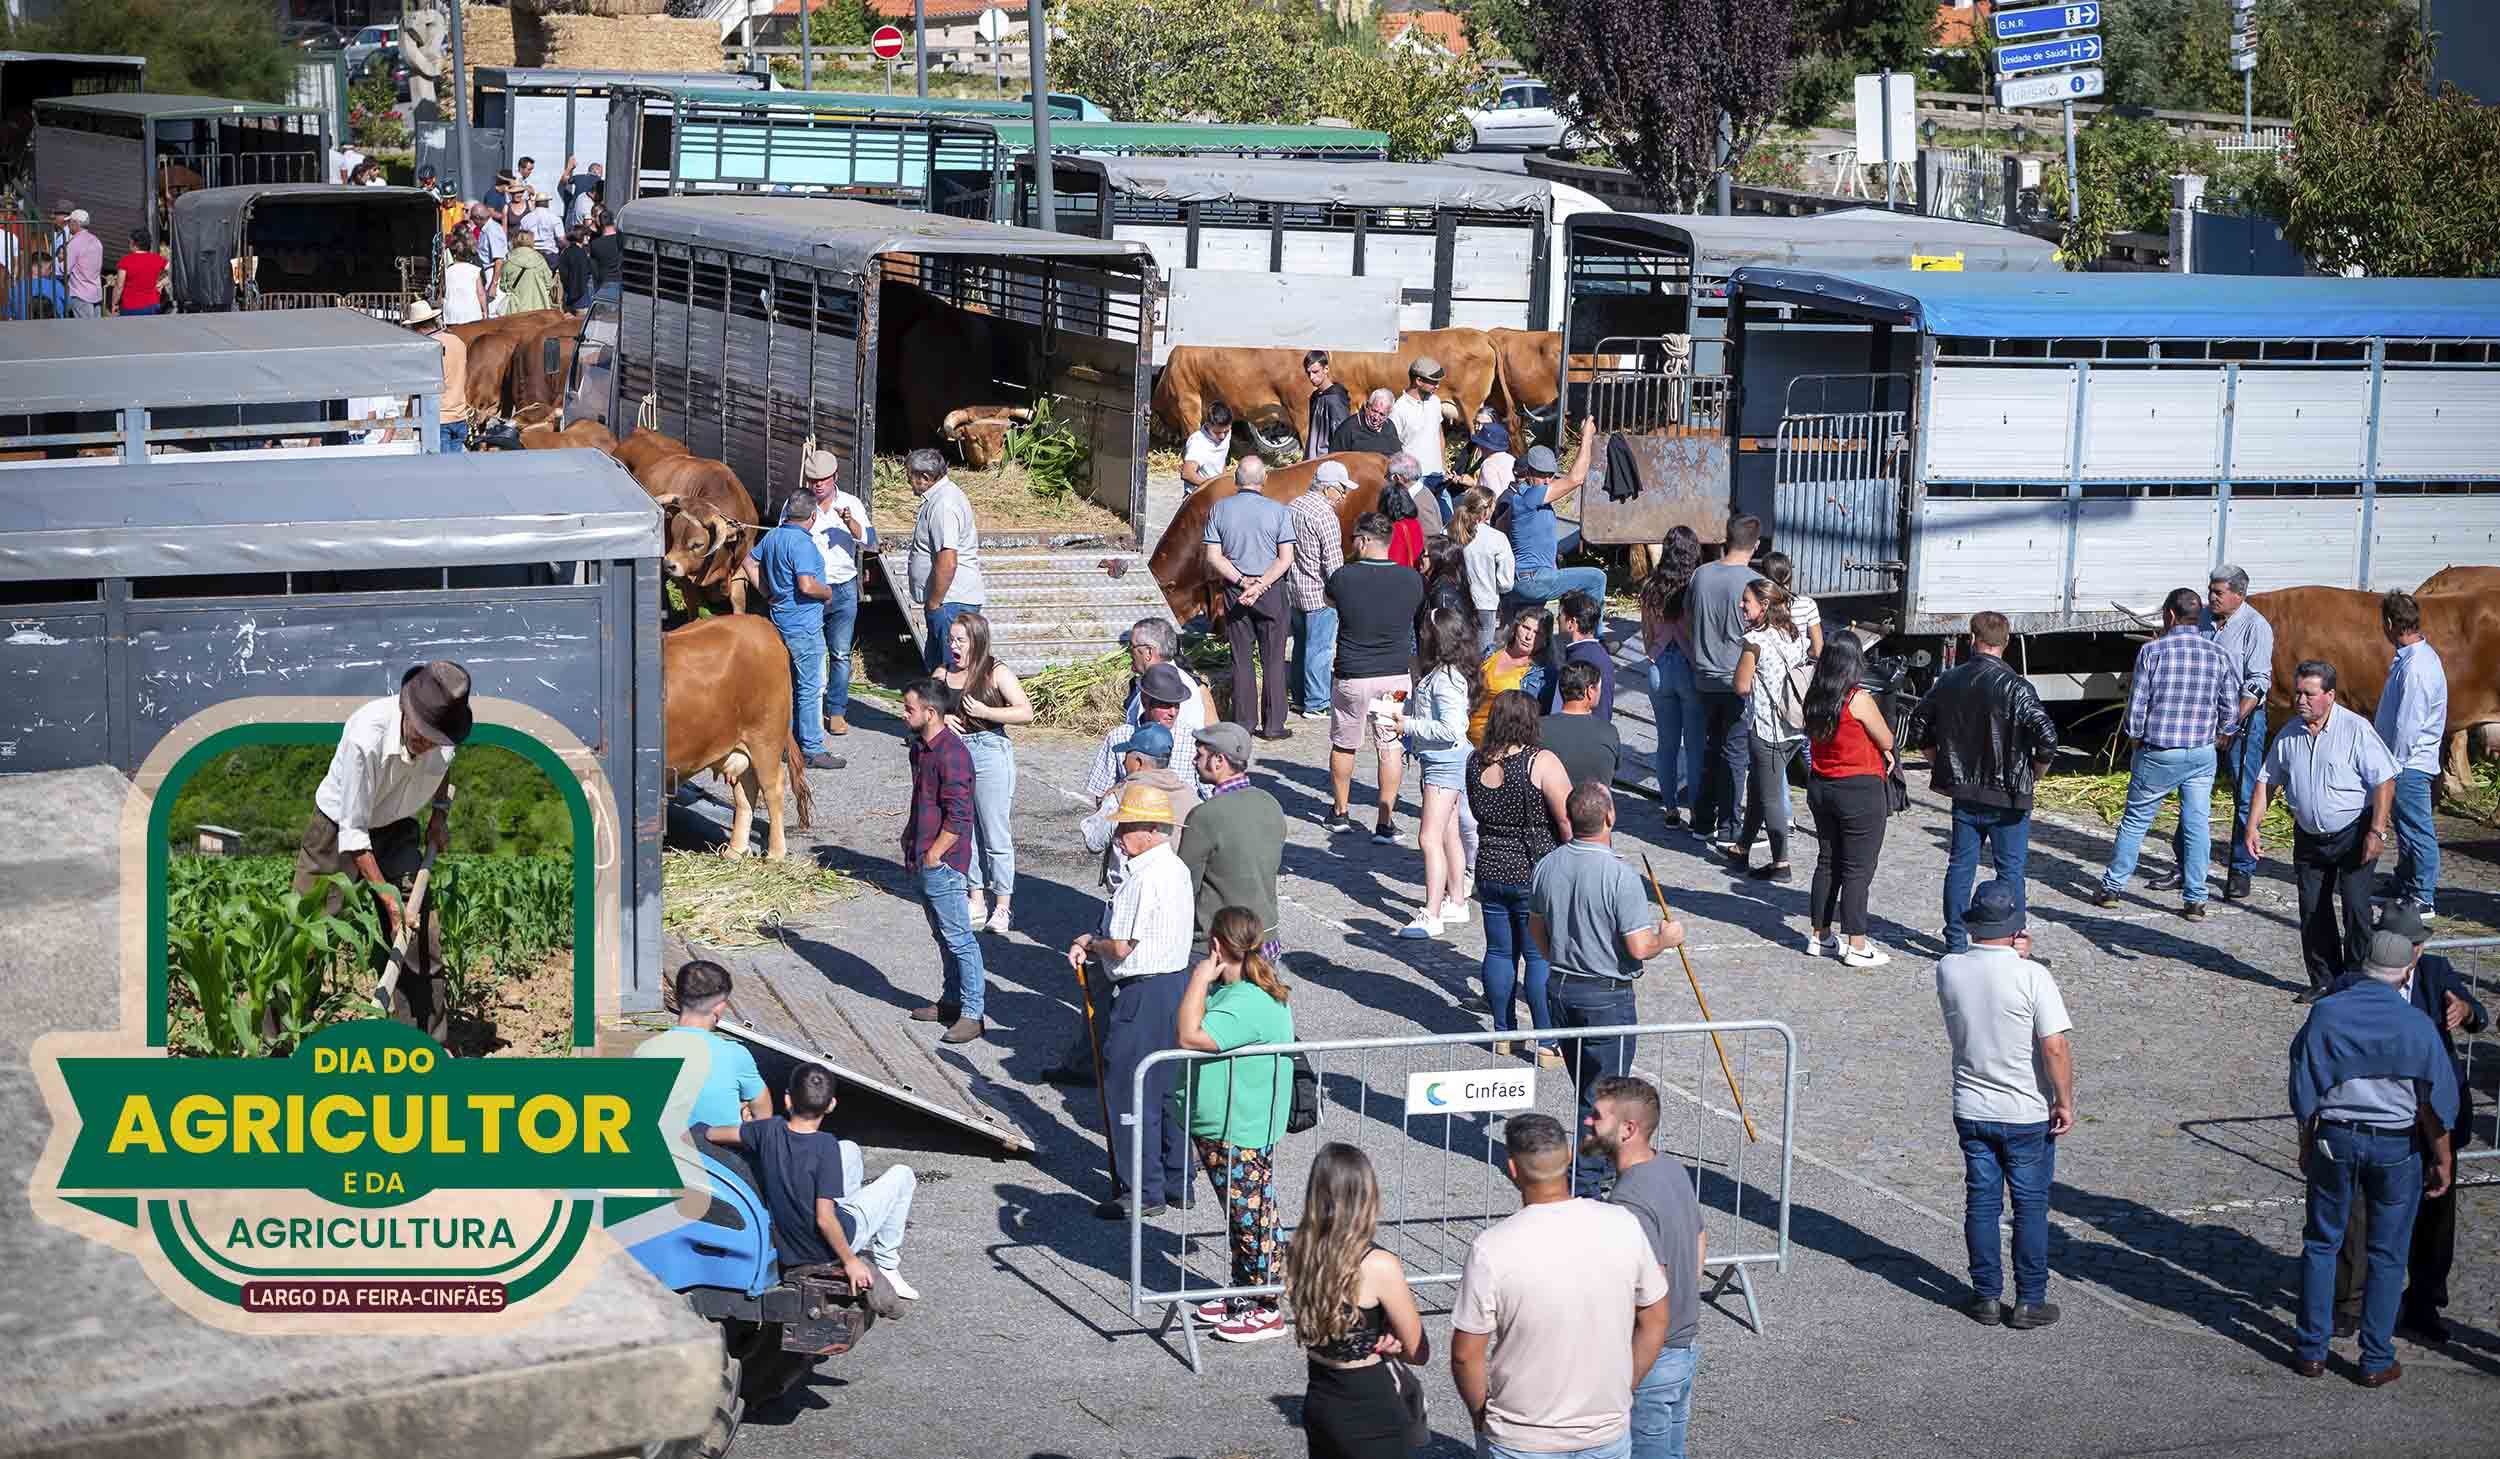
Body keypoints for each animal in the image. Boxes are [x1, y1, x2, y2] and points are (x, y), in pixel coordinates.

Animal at [665, 612, 820, 859]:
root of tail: (759, 622)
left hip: (766, 736)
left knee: (772, 787)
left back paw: (775, 854)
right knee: (745, 791)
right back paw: (734, 851)